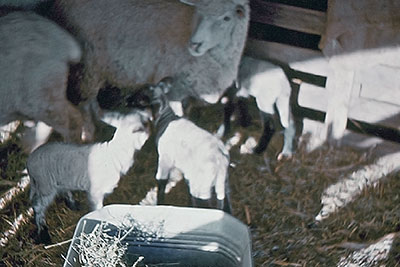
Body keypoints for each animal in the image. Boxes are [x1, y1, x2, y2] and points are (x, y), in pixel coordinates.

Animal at [26, 109, 151, 245]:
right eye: (140, 127)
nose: (150, 125)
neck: (114, 154)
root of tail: (29, 161)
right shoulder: (95, 192)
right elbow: (97, 210)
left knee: (63, 190)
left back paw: (73, 205)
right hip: (45, 185)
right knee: (38, 206)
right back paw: (44, 235)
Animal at [50, 0, 250, 133]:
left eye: (226, 18)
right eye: (200, 12)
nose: (194, 44)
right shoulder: (174, 90)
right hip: (88, 63)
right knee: (85, 101)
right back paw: (90, 133)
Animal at [144, 77, 231, 214]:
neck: (167, 117)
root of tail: (220, 162)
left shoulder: (164, 160)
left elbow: (161, 183)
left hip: (202, 188)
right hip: (223, 185)